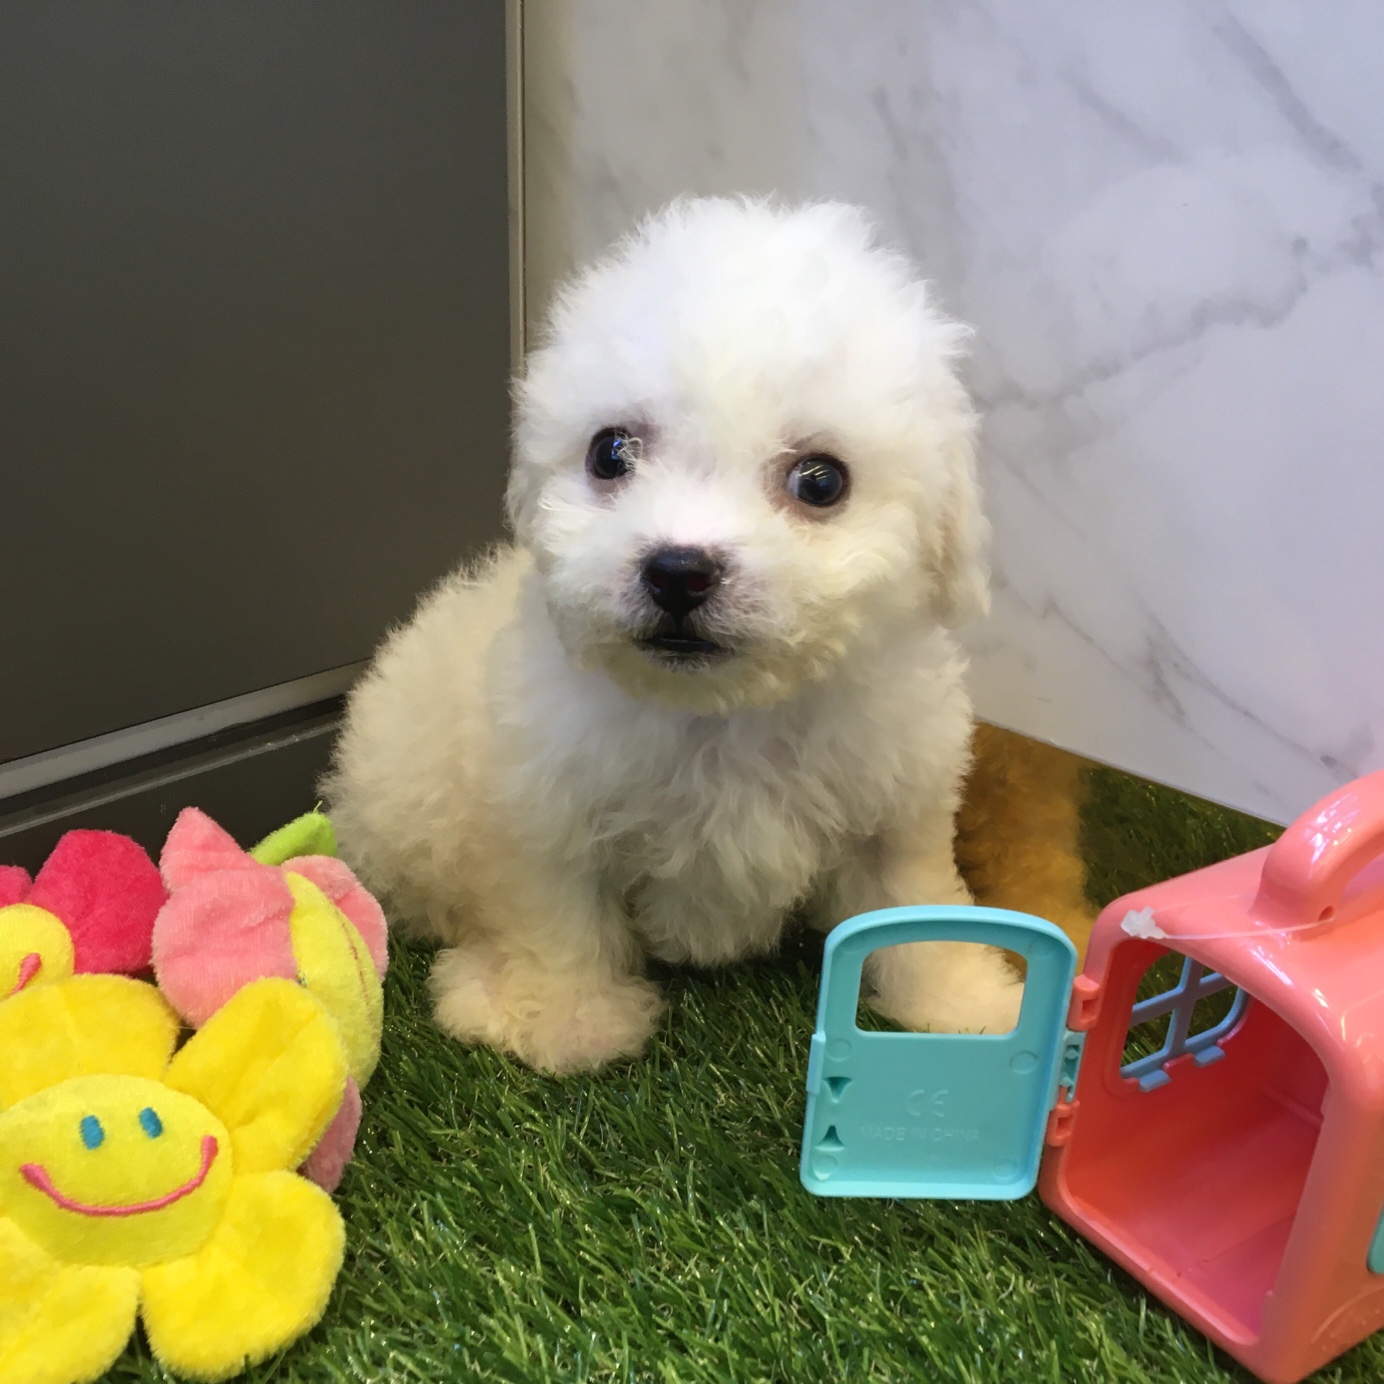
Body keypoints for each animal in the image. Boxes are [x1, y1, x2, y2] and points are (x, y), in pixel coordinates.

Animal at [325, 197, 1032, 1073]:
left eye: (821, 481)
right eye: (610, 453)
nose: (678, 571)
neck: (722, 714)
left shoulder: (894, 802)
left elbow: (914, 901)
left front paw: (961, 1004)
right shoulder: (545, 804)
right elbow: (557, 912)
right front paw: (562, 1021)